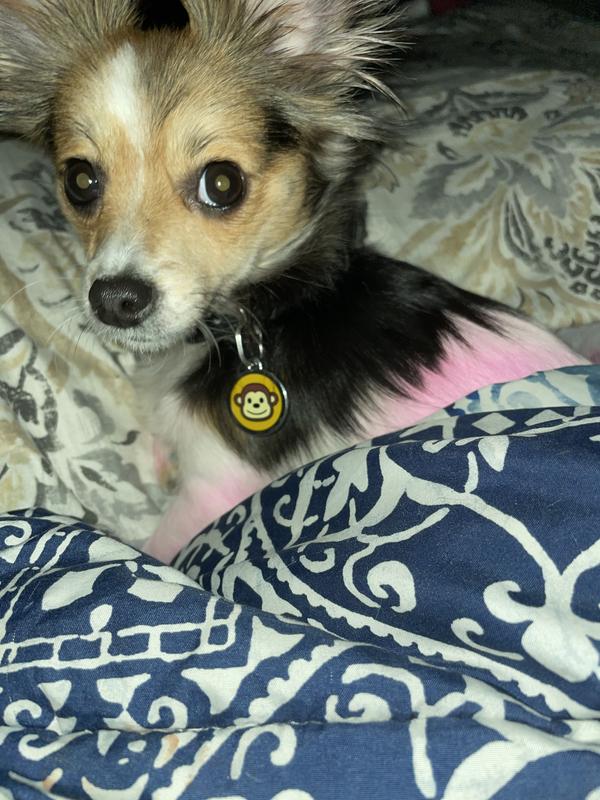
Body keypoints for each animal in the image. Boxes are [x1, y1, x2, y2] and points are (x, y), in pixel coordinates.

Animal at [0, 0, 584, 562]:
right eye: (79, 180)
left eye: (222, 183)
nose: (115, 300)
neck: (265, 307)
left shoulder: (212, 490)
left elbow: (153, 542)